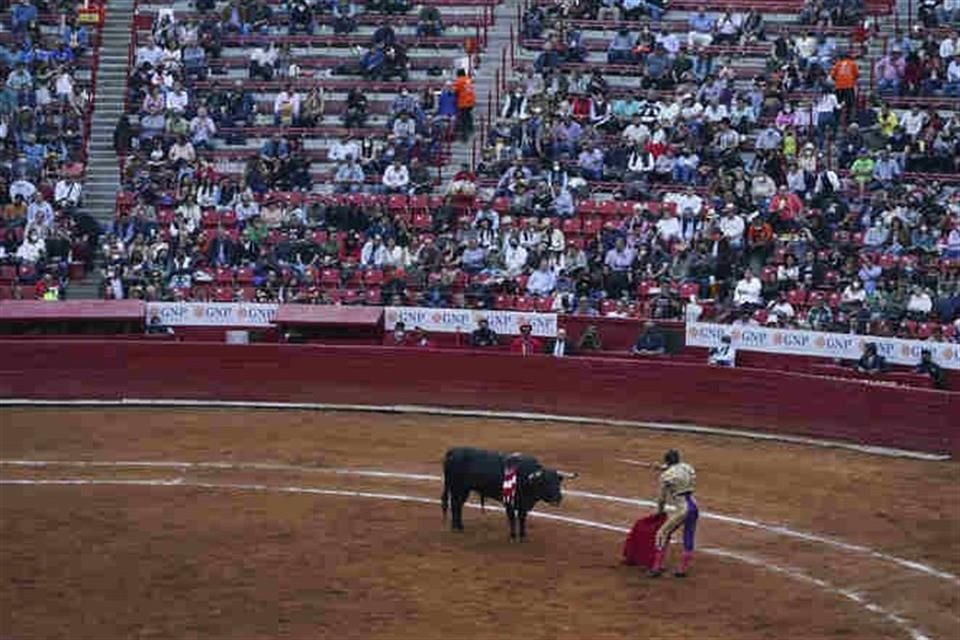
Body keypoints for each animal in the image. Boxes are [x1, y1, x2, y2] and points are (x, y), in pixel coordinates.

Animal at [442, 448, 576, 544]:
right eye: (546, 482)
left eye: (558, 482)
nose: (558, 497)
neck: (526, 478)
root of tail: (454, 451)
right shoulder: (509, 503)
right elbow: (512, 518)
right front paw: (512, 535)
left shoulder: (523, 504)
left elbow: (522, 518)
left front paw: (523, 535)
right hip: (456, 488)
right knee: (455, 504)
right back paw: (456, 527)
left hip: (464, 490)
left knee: (458, 505)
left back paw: (459, 526)